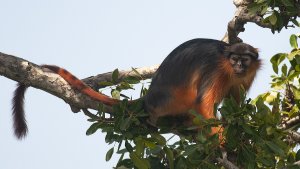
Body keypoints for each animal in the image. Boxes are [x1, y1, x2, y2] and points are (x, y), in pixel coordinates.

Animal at [11, 38, 260, 139]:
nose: (239, 66)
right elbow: (204, 102)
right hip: (170, 102)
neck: (227, 65)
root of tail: (148, 99)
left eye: (244, 60)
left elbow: (235, 103)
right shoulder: (215, 69)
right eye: (235, 59)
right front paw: (221, 139)